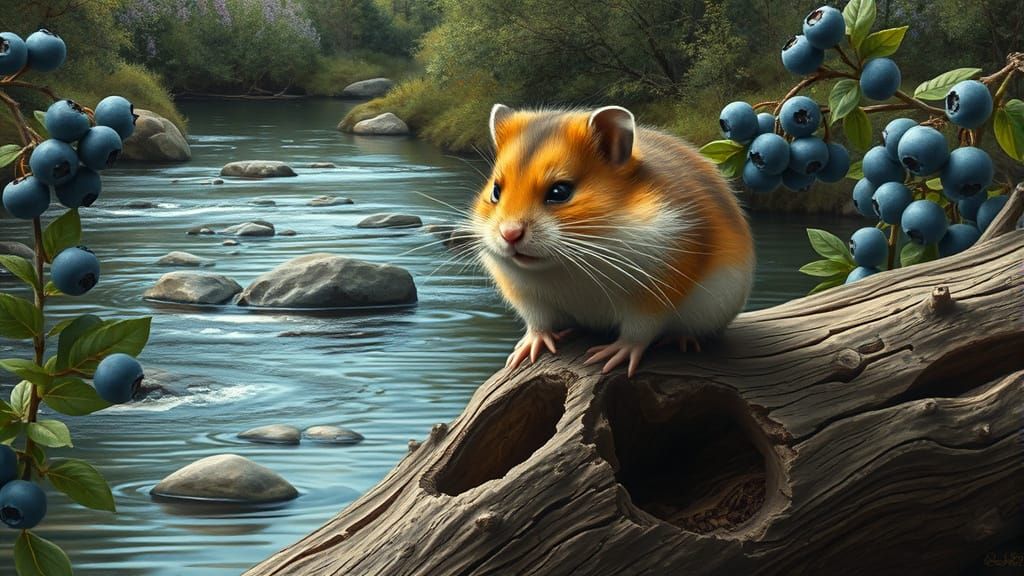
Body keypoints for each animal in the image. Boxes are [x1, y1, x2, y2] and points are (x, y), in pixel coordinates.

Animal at [471, 104, 755, 377]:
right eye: (495, 191)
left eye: (560, 191)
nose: (509, 234)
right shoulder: (527, 296)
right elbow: (538, 323)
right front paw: (523, 351)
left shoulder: (657, 292)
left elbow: (639, 331)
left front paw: (610, 355)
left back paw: (682, 340)